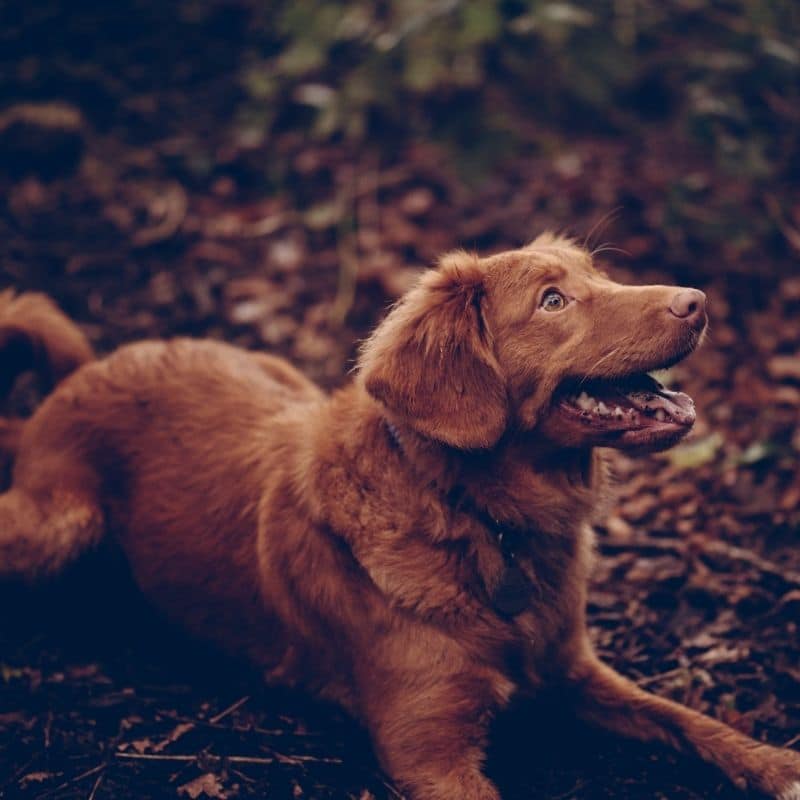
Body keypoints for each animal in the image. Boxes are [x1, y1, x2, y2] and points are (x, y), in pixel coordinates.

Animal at [1, 236, 800, 800]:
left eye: (599, 280)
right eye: (552, 302)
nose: (698, 300)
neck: (484, 524)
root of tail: (73, 380)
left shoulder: (573, 669)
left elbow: (688, 719)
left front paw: (774, 762)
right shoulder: (429, 753)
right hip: (59, 525)